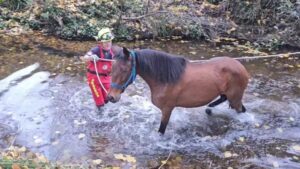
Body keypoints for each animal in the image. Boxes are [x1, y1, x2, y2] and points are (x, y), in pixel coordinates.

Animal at [107, 47, 248, 135]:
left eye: (124, 70)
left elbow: (161, 130)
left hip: (235, 97)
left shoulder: (167, 109)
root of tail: (241, 67)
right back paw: (210, 108)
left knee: (240, 110)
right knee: (225, 100)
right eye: (112, 67)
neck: (166, 78)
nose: (111, 97)